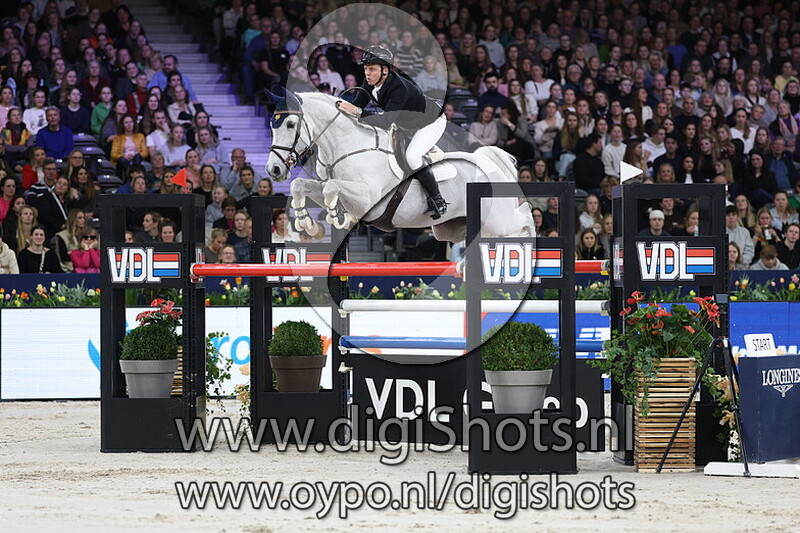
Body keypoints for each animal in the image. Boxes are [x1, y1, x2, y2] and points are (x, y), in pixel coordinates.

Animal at [264, 90, 534, 243]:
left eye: (290, 124)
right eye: (271, 125)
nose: (273, 170)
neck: (347, 145)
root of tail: (488, 164)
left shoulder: (366, 198)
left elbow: (332, 187)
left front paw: (335, 215)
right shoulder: (329, 189)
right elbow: (301, 185)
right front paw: (305, 222)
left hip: (498, 219)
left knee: (524, 216)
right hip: (452, 228)